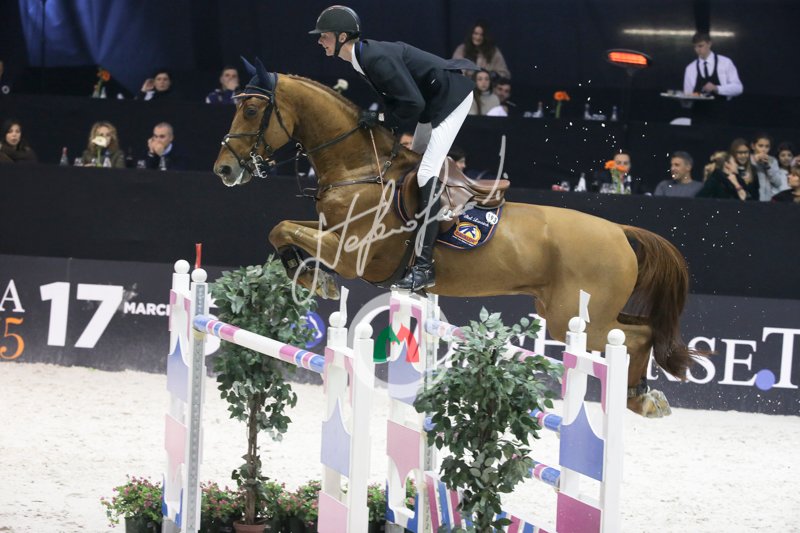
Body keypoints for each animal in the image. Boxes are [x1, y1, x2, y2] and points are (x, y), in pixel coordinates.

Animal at [213, 60, 703, 418]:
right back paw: (642, 396)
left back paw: (640, 397)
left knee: (635, 336)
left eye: (252, 110)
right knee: (643, 330)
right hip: (571, 312)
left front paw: (315, 279)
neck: (361, 169)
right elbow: (282, 228)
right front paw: (310, 274)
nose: (224, 169)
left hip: (579, 319)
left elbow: (283, 229)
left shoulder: (356, 256)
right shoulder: (332, 233)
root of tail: (620, 231)